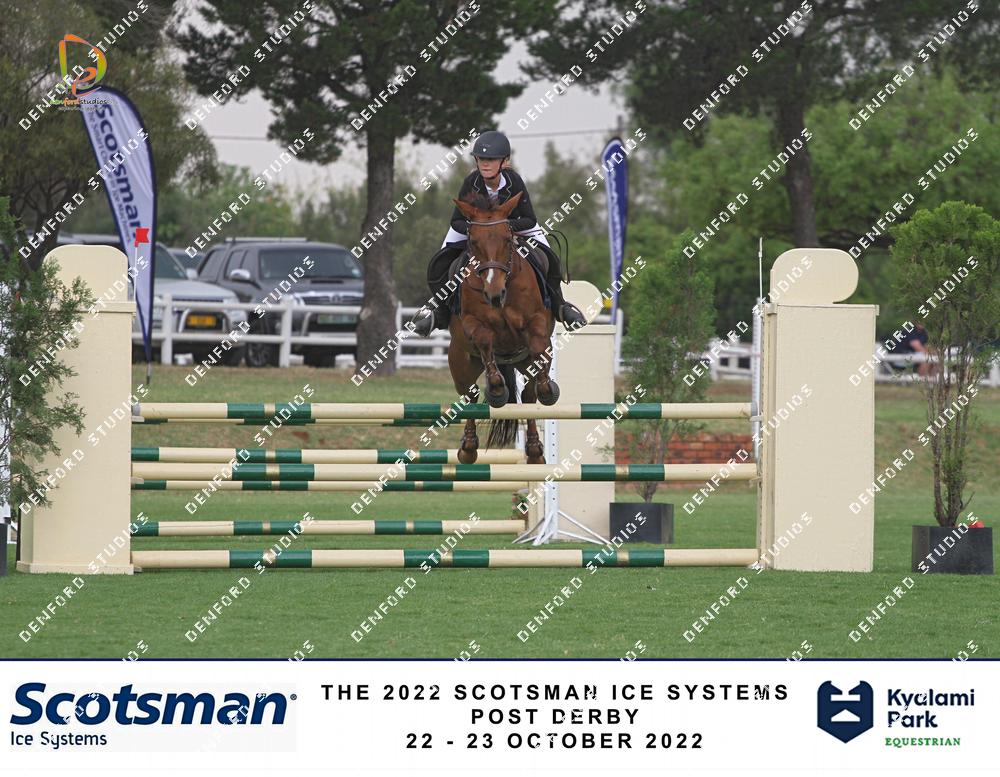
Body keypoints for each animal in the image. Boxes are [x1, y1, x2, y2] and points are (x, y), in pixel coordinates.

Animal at [447, 192, 560, 465]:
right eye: (473, 242)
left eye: (507, 239)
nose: (494, 293)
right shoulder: (471, 323)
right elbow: (484, 339)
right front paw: (497, 390)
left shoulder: (537, 322)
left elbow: (538, 345)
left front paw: (548, 389)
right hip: (461, 362)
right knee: (470, 395)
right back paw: (468, 447)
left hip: (523, 363)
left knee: (528, 397)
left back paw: (535, 451)